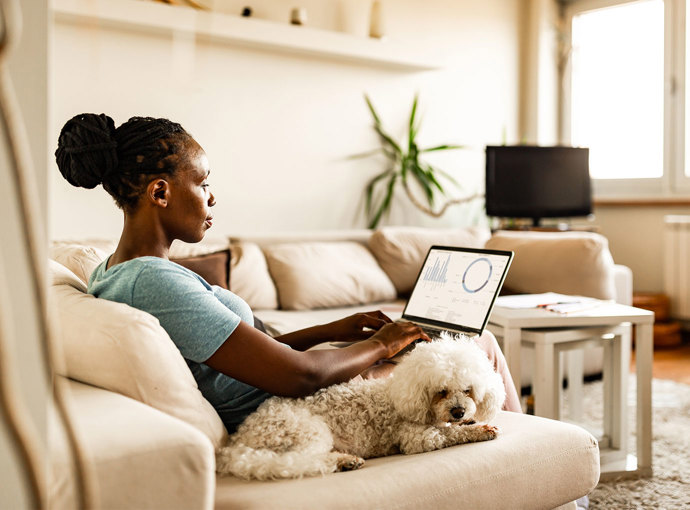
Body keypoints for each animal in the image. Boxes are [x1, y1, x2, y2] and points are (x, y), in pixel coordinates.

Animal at [216, 332, 506, 480]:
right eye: (441, 392)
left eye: (467, 390)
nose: (458, 411)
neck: (403, 392)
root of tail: (238, 441)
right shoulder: (416, 437)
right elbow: (450, 433)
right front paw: (479, 429)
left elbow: (453, 426)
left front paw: (470, 421)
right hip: (306, 431)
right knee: (298, 461)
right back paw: (345, 461)